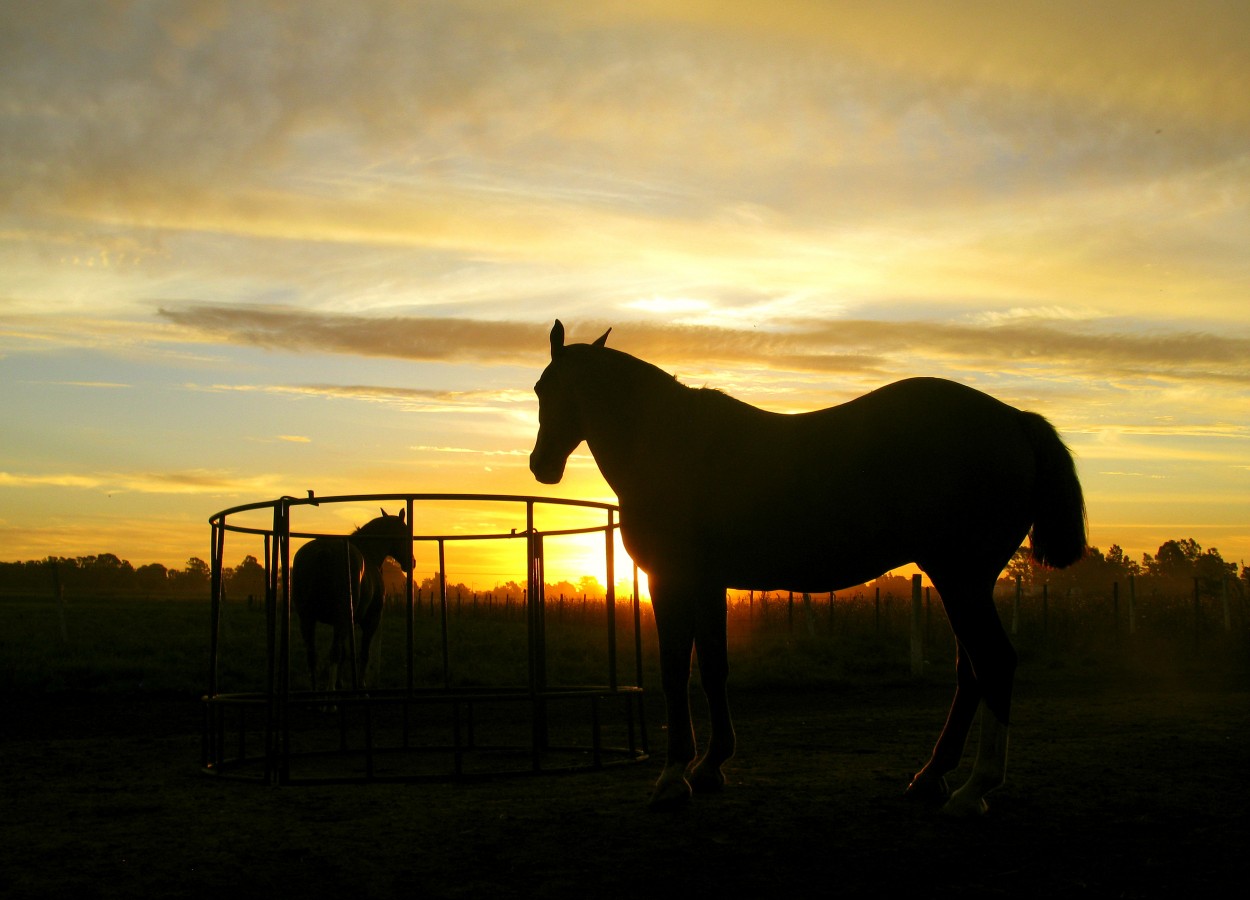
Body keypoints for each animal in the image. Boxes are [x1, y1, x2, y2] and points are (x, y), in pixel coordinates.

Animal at [290, 510, 412, 695]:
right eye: (404, 533)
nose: (412, 562)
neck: (369, 553)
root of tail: (323, 551)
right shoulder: (370, 620)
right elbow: (363, 653)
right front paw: (361, 686)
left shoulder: (348, 623)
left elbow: (346, 653)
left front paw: (341, 683)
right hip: (338, 619)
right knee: (333, 652)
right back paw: (329, 696)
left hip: (307, 619)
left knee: (313, 655)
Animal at [527, 322, 1085, 815]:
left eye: (547, 388)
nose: (541, 465)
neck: (675, 444)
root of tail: (1015, 420)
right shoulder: (709, 584)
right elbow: (712, 668)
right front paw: (710, 766)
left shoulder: (672, 579)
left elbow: (674, 670)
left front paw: (672, 778)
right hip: (963, 582)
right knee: (971, 671)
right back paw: (931, 777)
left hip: (960, 578)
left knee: (993, 662)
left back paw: (974, 789)